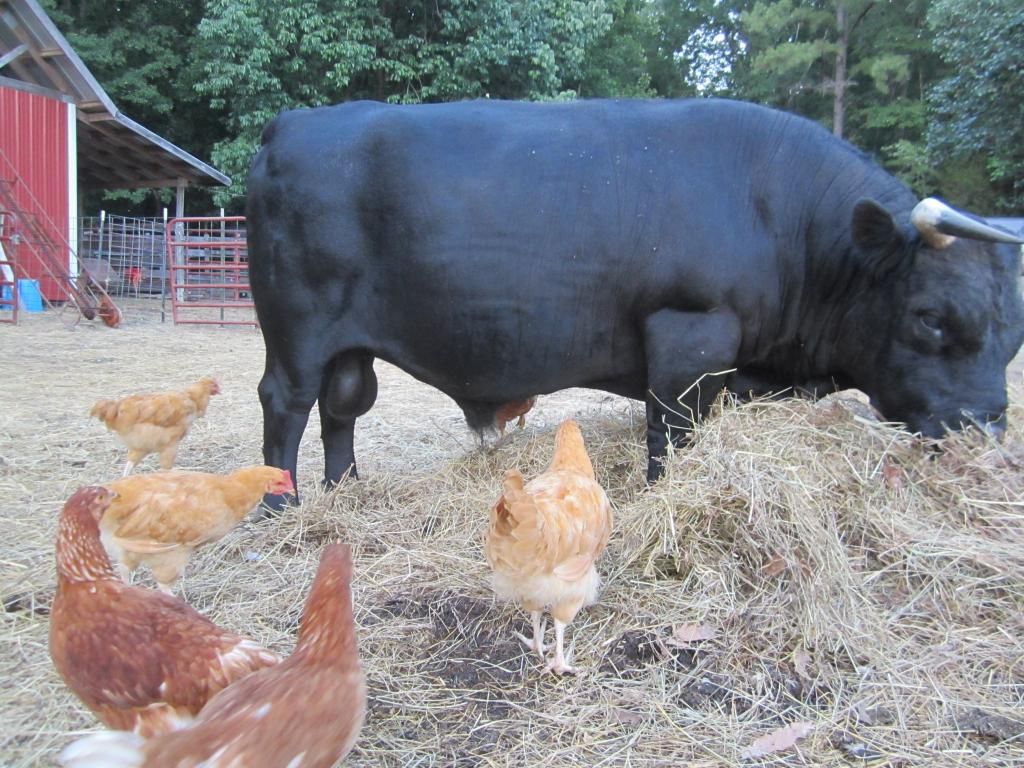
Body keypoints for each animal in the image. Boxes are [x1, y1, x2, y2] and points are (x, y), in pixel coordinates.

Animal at [246, 98, 1024, 509]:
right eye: (931, 317)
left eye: (1013, 333)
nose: (985, 433)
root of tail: (293, 124)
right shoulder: (689, 333)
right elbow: (670, 433)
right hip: (296, 330)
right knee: (287, 402)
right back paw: (283, 503)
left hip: (349, 343)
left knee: (343, 406)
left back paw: (346, 491)